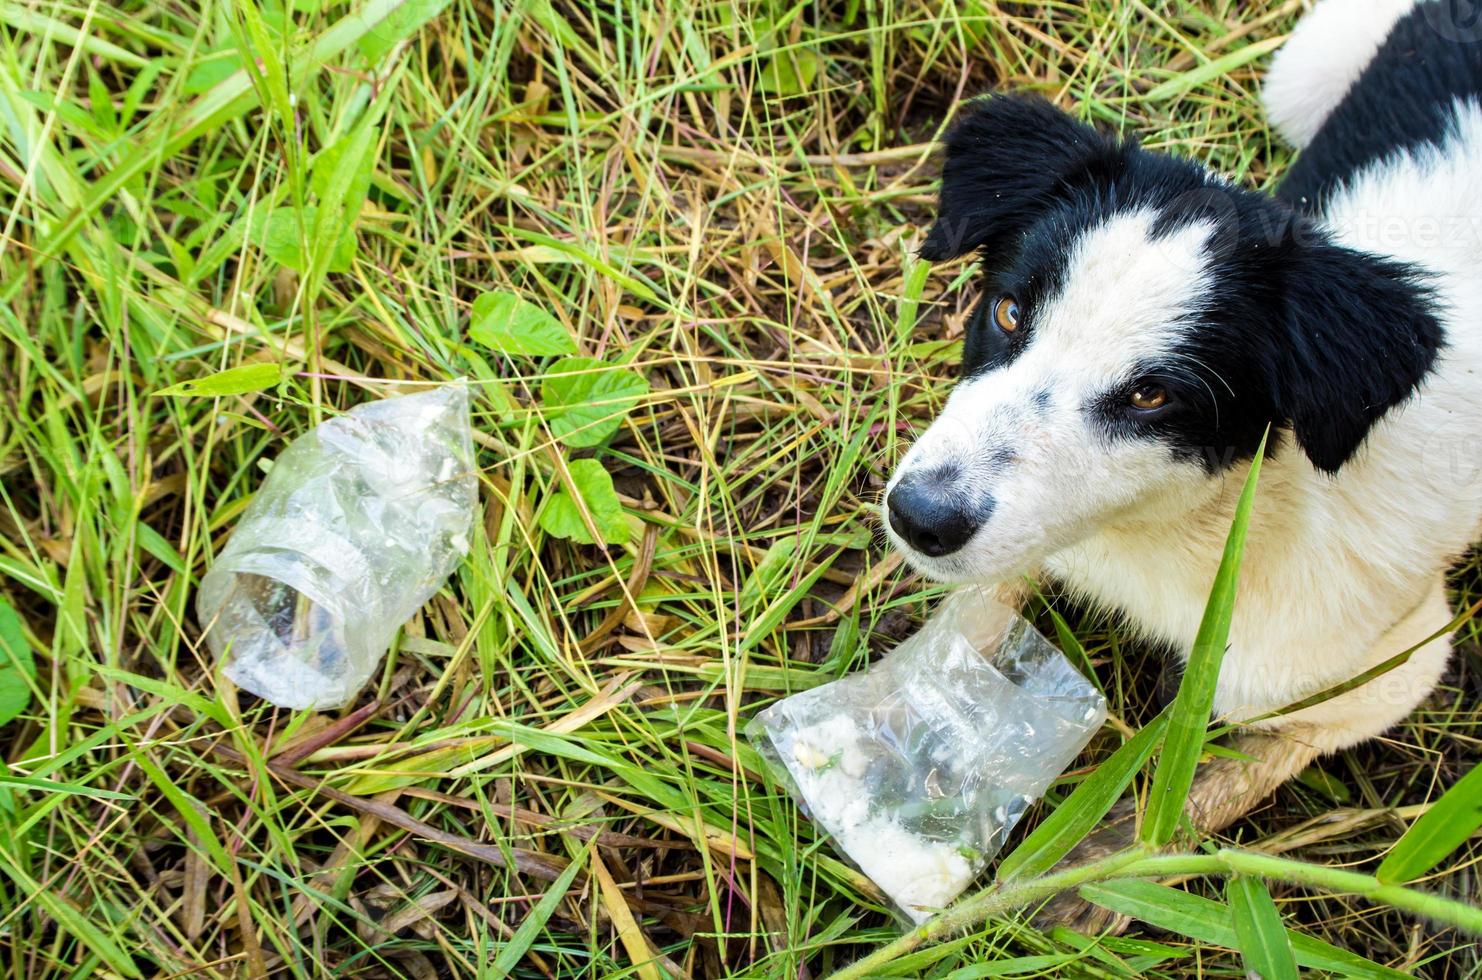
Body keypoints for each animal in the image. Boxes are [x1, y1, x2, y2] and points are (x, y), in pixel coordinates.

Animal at [883, 0, 1476, 907]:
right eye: (1009, 311)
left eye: (1152, 396)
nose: (918, 518)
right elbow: (974, 618)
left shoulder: (1389, 669)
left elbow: (1199, 798)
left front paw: (1082, 882)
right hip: (1299, 74)